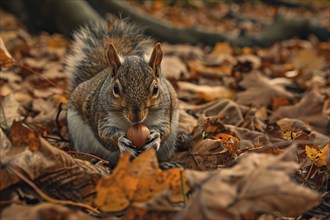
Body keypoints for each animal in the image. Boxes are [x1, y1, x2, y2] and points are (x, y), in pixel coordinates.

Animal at [66, 18, 179, 167]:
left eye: (155, 89)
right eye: (116, 89)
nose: (136, 117)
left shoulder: (163, 113)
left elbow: (164, 129)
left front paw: (156, 136)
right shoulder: (103, 115)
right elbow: (104, 134)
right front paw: (121, 142)